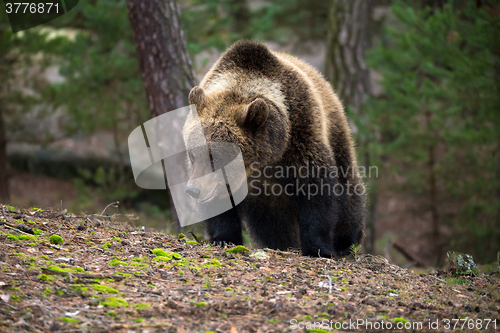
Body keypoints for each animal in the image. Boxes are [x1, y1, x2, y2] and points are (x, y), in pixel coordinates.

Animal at [182, 39, 366, 256]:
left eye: (215, 157)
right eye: (193, 155)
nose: (193, 190)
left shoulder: (300, 135)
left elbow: (315, 189)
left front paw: (318, 247)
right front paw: (222, 238)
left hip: (336, 132)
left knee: (348, 191)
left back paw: (346, 240)